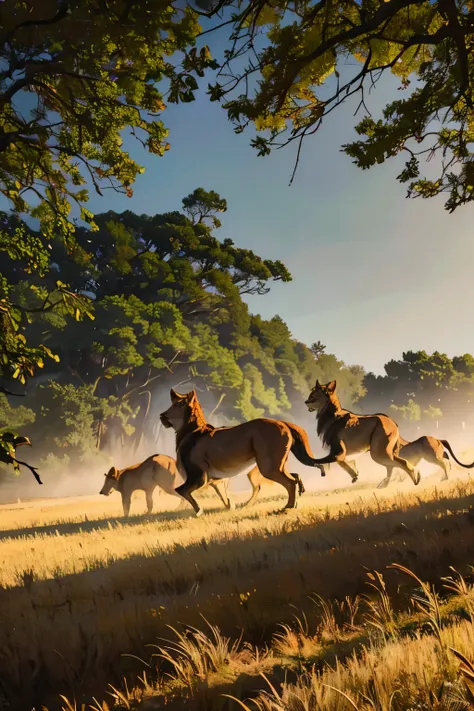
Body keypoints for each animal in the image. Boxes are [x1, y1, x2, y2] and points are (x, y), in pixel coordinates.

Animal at [158, 390, 318, 516]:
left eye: (178, 405)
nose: (161, 416)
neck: (189, 431)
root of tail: (283, 423)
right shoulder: (215, 480)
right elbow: (224, 497)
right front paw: (231, 506)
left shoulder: (199, 477)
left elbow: (181, 491)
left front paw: (199, 511)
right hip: (275, 465)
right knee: (295, 477)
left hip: (268, 467)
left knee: (290, 482)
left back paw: (288, 507)